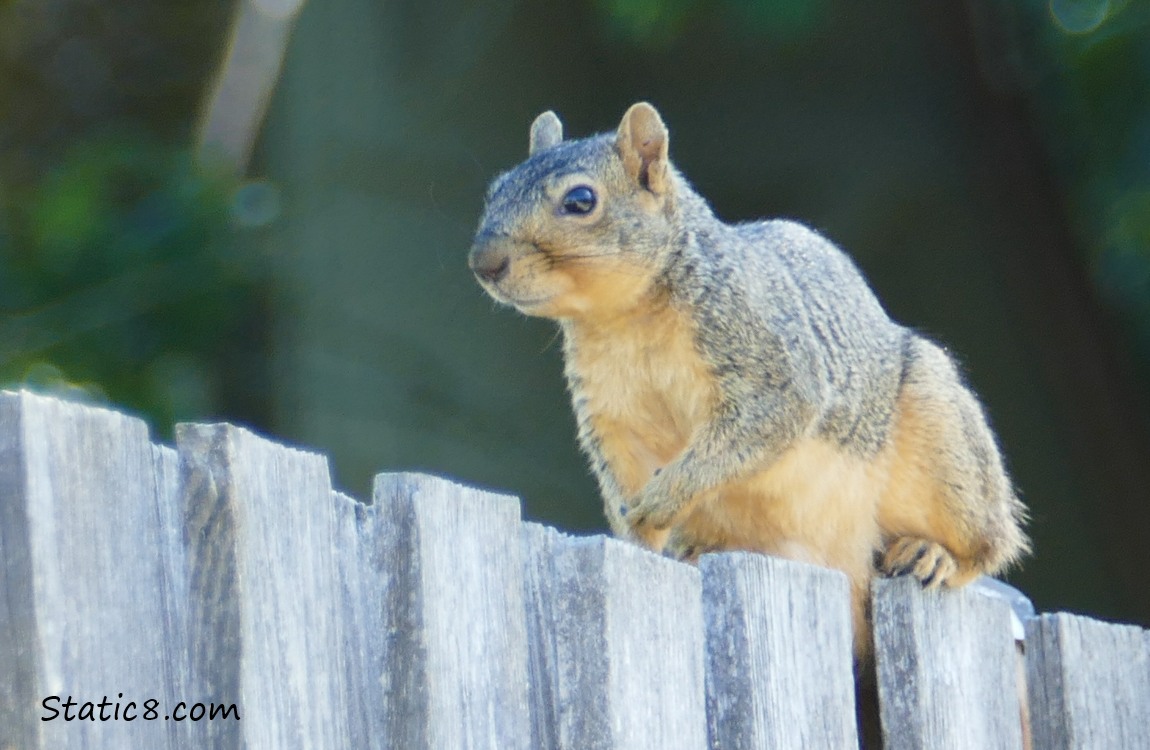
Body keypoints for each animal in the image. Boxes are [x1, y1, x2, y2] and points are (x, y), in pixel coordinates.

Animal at [466, 101, 1035, 657]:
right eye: (495, 190)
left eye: (581, 200)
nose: (483, 262)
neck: (626, 317)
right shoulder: (611, 415)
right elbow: (621, 471)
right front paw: (637, 538)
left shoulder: (767, 361)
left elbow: (751, 429)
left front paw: (661, 500)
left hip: (942, 442)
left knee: (989, 541)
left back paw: (936, 554)